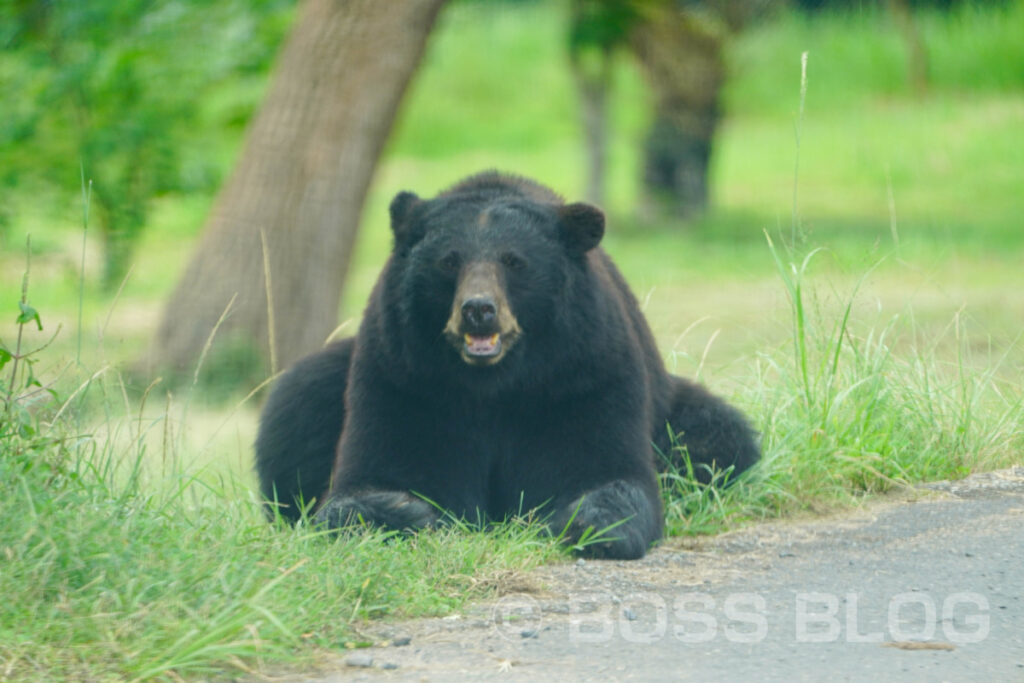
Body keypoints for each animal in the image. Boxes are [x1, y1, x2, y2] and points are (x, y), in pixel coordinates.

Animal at [251, 172, 757, 561]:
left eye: (515, 262)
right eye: (448, 261)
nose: (479, 310)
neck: (493, 383)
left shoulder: (581, 373)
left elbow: (604, 470)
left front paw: (589, 525)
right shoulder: (405, 378)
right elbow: (373, 477)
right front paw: (411, 511)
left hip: (674, 407)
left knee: (719, 437)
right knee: (295, 411)